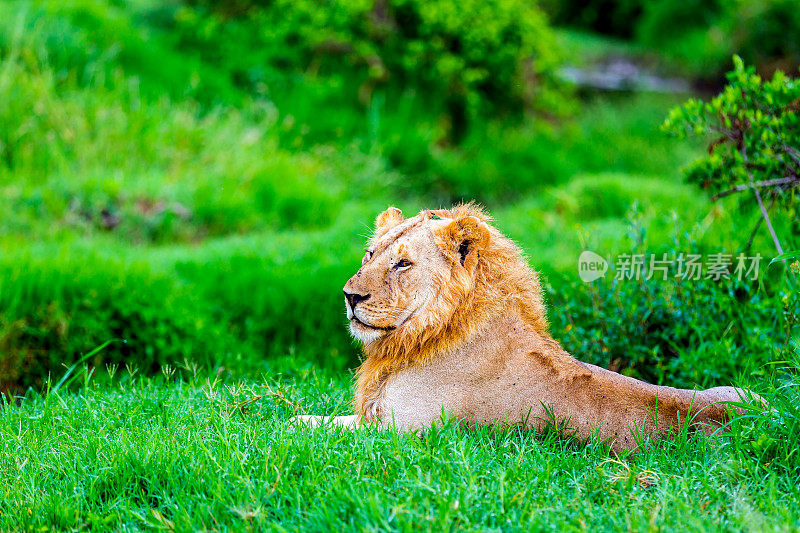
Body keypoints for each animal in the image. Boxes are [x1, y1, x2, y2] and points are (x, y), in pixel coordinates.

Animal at [296, 204, 764, 448]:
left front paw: (289, 423)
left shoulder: (405, 432)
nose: (349, 296)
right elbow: (318, 416)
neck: (420, 335)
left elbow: (312, 424)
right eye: (370, 255)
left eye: (403, 264)